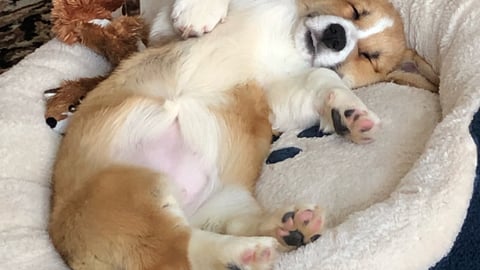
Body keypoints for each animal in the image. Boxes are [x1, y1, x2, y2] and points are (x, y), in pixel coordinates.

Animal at [48, 0, 412, 270]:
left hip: (213, 199)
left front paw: (350, 113)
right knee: (175, 253)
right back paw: (246, 252)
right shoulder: (163, 28)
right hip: (135, 188)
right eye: (354, 9)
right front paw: (199, 13)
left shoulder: (275, 95)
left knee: (202, 241)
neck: (289, 37)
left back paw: (285, 231)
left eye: (369, 56)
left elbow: (323, 78)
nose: (337, 36)